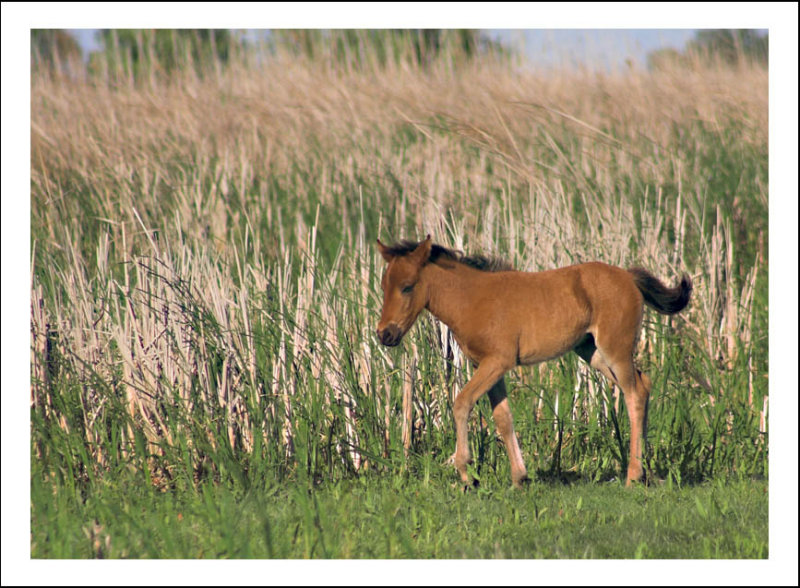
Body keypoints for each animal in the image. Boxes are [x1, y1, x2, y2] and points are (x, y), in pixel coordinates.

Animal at [372, 234, 692, 486]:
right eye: (383, 286)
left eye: (408, 286)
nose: (385, 334)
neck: (471, 299)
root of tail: (629, 277)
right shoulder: (488, 366)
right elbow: (503, 418)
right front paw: (519, 477)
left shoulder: (497, 362)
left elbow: (462, 403)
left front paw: (465, 473)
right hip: (592, 351)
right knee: (644, 384)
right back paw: (646, 469)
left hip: (615, 349)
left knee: (634, 394)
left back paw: (633, 475)